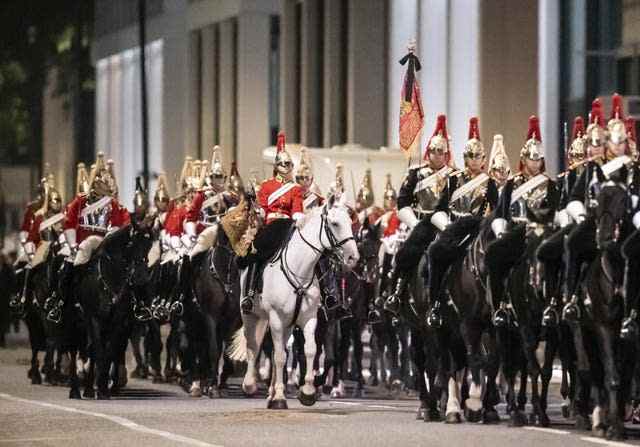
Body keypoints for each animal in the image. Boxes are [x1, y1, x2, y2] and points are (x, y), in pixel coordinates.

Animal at [230, 196, 360, 410]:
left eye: (350, 222)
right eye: (334, 223)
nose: (353, 257)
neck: (300, 269)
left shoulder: (309, 319)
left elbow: (309, 351)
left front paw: (307, 392)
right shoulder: (275, 318)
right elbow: (280, 356)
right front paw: (280, 398)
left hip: (288, 325)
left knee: (278, 349)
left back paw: (272, 394)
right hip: (251, 315)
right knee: (253, 345)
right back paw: (250, 384)